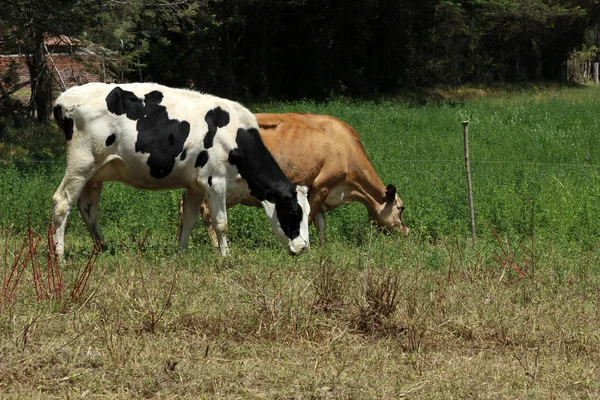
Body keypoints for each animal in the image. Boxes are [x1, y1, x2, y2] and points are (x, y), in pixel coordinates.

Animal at [51, 82, 310, 256]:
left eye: (308, 213)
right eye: (294, 213)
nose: (304, 248)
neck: (237, 136)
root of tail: (65, 97)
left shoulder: (196, 185)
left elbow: (189, 219)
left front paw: (182, 252)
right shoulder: (215, 181)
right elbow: (221, 223)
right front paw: (225, 256)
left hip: (95, 173)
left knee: (88, 209)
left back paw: (102, 248)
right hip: (81, 164)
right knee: (62, 202)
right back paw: (60, 255)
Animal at [180, 111, 410, 245]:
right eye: (401, 208)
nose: (406, 231)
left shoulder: (319, 190)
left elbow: (321, 223)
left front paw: (323, 248)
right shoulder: (322, 185)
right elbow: (308, 219)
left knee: (186, 205)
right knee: (207, 212)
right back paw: (215, 246)